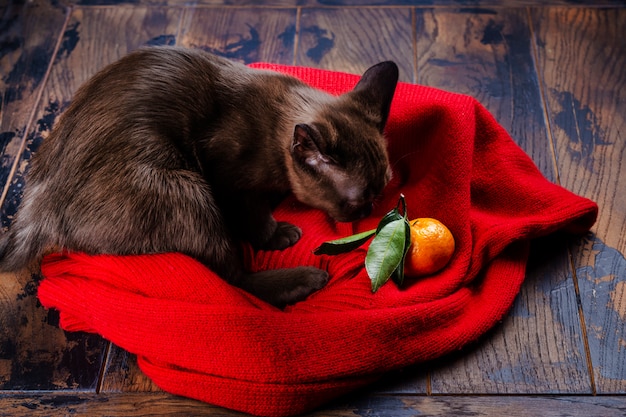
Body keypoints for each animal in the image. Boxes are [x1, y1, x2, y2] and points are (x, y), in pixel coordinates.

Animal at [0, 46, 398, 306]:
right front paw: (276, 233)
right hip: (189, 191)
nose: (368, 212)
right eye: (356, 202)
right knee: (235, 281)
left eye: (380, 191)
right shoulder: (228, 181)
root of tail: (36, 209)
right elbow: (253, 219)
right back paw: (303, 280)